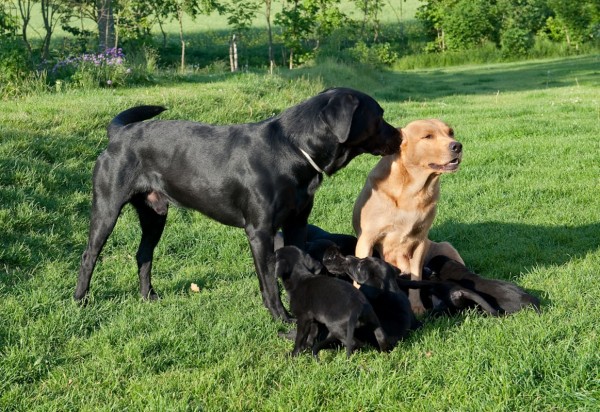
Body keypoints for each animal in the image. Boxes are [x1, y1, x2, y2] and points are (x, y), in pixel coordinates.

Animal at [76, 87, 404, 320]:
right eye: (379, 115)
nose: (401, 135)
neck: (293, 149)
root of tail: (119, 134)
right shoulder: (259, 231)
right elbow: (268, 281)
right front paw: (281, 316)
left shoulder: (297, 223)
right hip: (107, 207)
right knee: (89, 256)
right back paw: (81, 301)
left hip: (155, 213)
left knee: (144, 255)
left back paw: (148, 297)